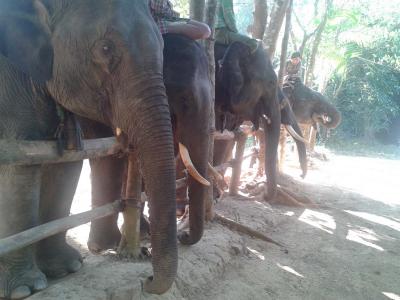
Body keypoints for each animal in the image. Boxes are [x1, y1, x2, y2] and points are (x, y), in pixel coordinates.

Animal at [0, 0, 178, 298]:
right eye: (105, 48)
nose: (147, 279)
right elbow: (23, 164)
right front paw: (26, 288)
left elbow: (67, 164)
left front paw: (67, 268)